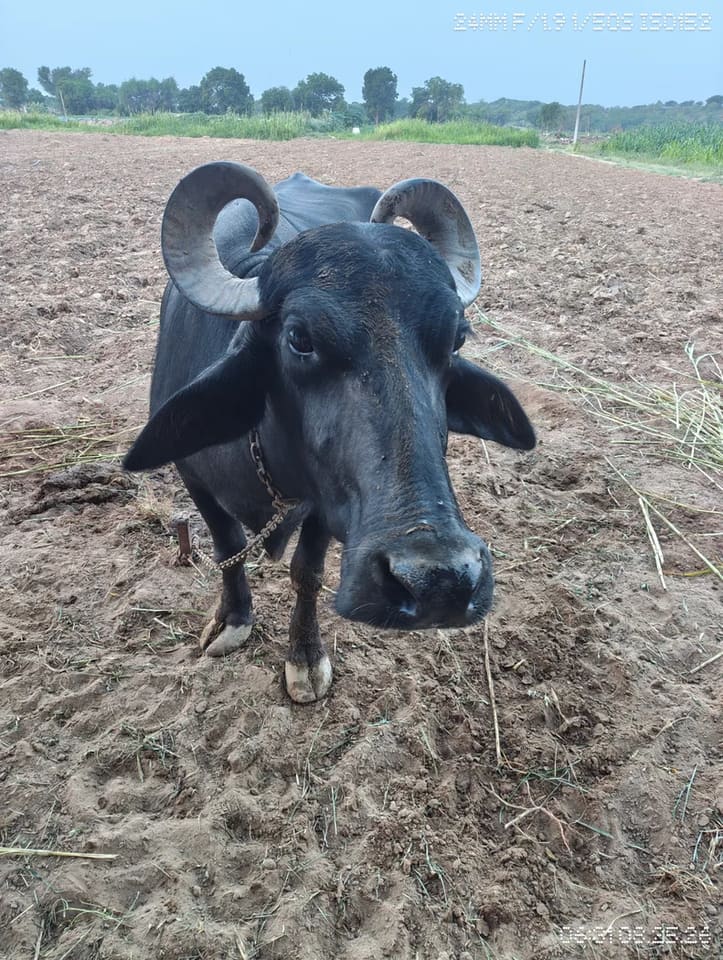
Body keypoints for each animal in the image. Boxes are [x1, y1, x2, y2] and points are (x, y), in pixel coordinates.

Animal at [125, 162, 535, 702]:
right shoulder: (193, 478)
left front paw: (304, 657)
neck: (264, 460)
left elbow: (307, 571)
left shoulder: (323, 504)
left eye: (456, 339)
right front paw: (233, 619)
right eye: (299, 337)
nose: (439, 581)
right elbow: (228, 548)